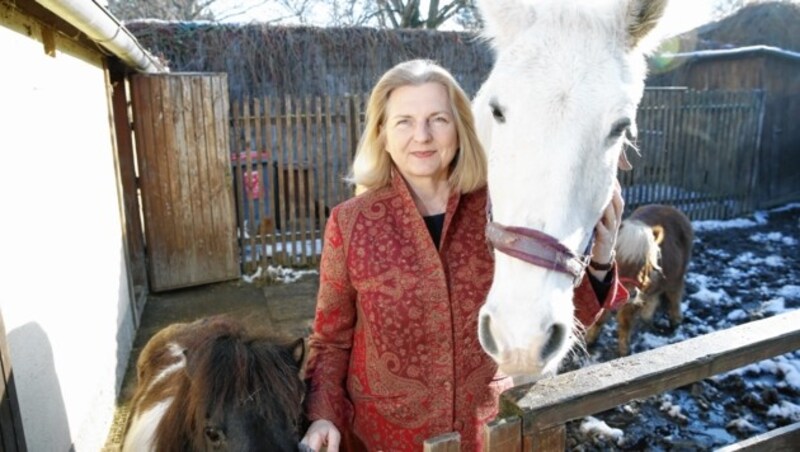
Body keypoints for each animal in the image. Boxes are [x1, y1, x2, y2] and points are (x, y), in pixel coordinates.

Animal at [584, 205, 692, 356]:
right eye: (615, 258)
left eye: (644, 264)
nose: (630, 293)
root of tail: (672, 209)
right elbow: (600, 317)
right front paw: (589, 339)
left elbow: (625, 321)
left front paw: (624, 349)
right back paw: (647, 315)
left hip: (677, 276)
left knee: (674, 295)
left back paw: (675, 320)